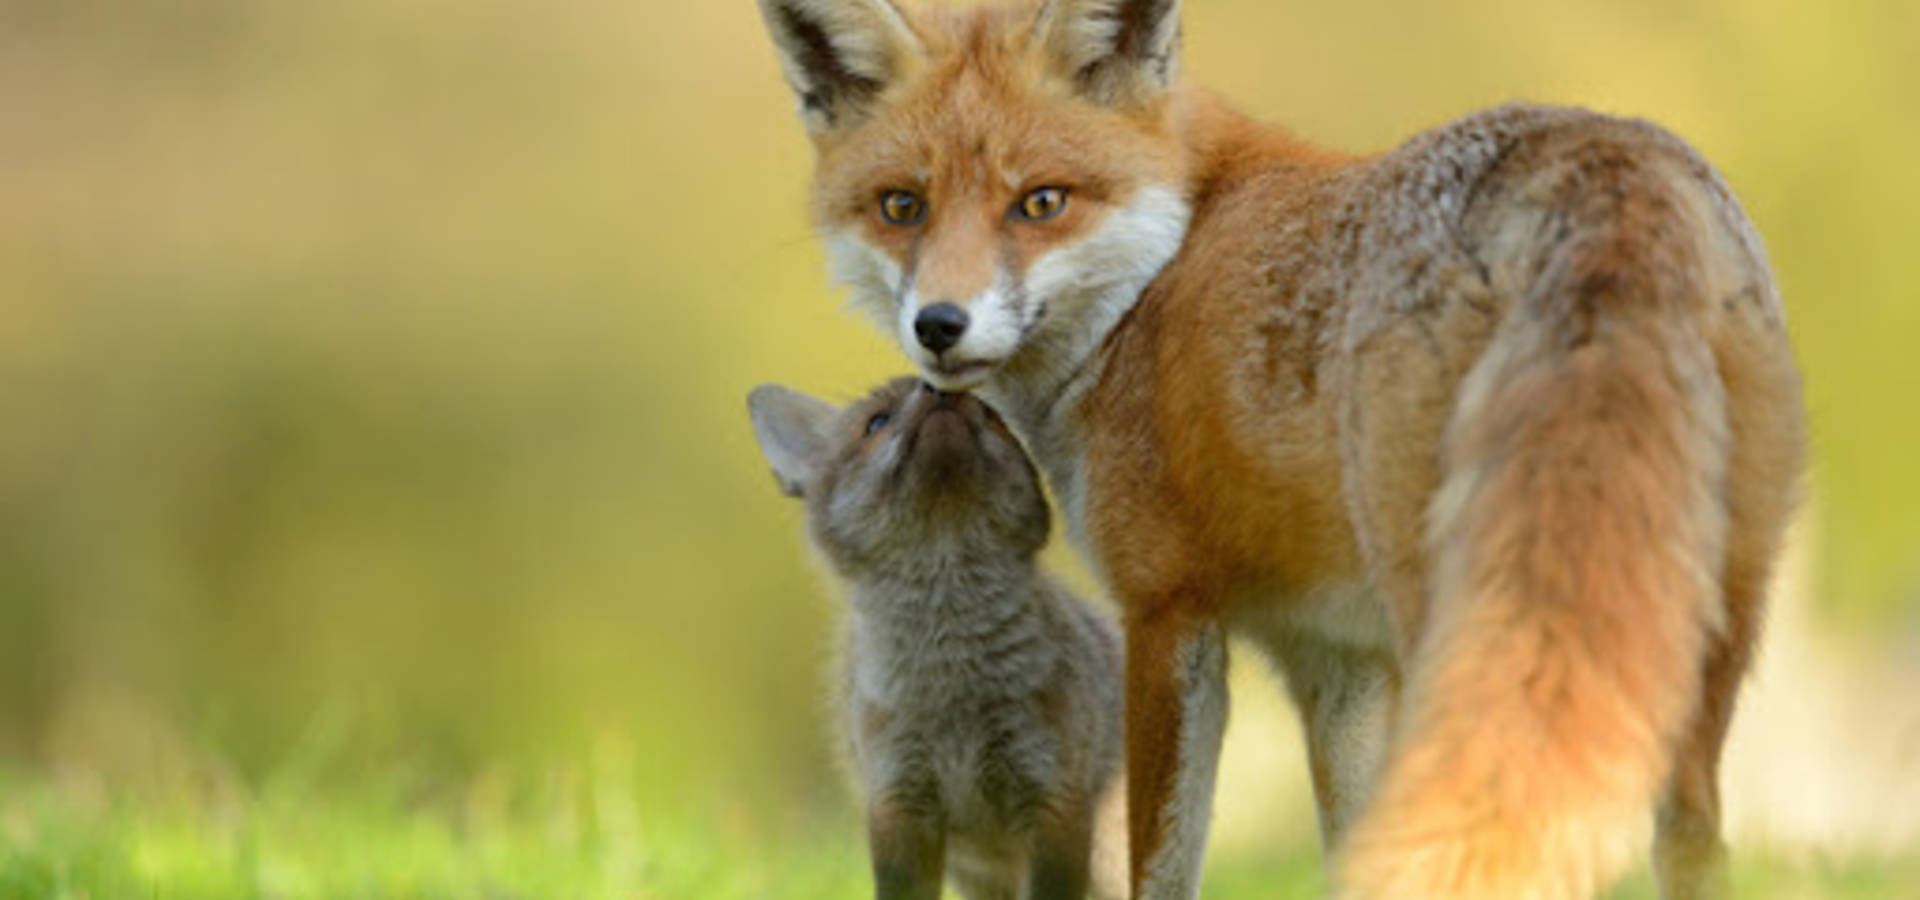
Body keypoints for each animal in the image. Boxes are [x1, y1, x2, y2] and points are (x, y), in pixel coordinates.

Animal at [752, 3, 1797, 894]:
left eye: (1041, 203)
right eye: (901, 207)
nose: (939, 327)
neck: (1155, 279)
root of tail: (1609, 161)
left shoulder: (1168, 613)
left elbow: (1162, 862)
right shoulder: (1335, 660)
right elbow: (1355, 851)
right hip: (1698, 633)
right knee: (1688, 836)